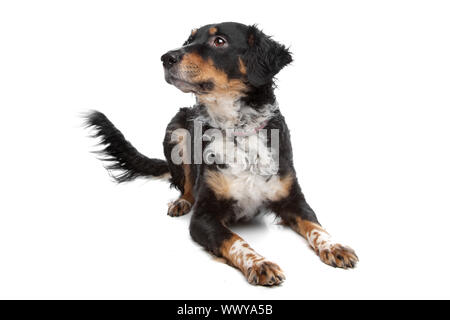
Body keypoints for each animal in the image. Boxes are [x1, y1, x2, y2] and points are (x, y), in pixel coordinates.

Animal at [85, 22, 358, 288]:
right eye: (189, 40)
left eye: (219, 41)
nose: (166, 58)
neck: (239, 130)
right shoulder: (204, 216)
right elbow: (235, 240)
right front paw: (259, 263)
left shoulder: (294, 200)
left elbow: (316, 227)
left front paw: (335, 246)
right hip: (177, 130)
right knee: (186, 184)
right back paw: (182, 201)